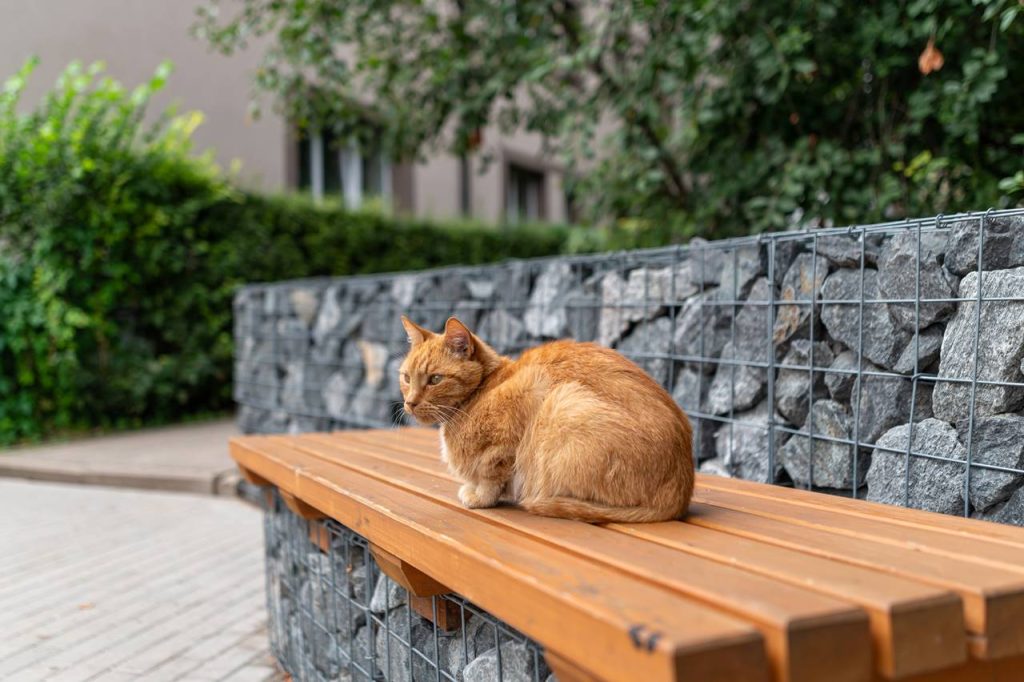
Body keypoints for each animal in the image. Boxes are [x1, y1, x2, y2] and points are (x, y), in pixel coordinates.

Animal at [395, 313, 692, 520]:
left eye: (435, 379)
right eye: (407, 378)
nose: (410, 403)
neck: (480, 392)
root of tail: (680, 495)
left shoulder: (526, 398)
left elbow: (492, 475)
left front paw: (480, 497)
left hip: (562, 403)